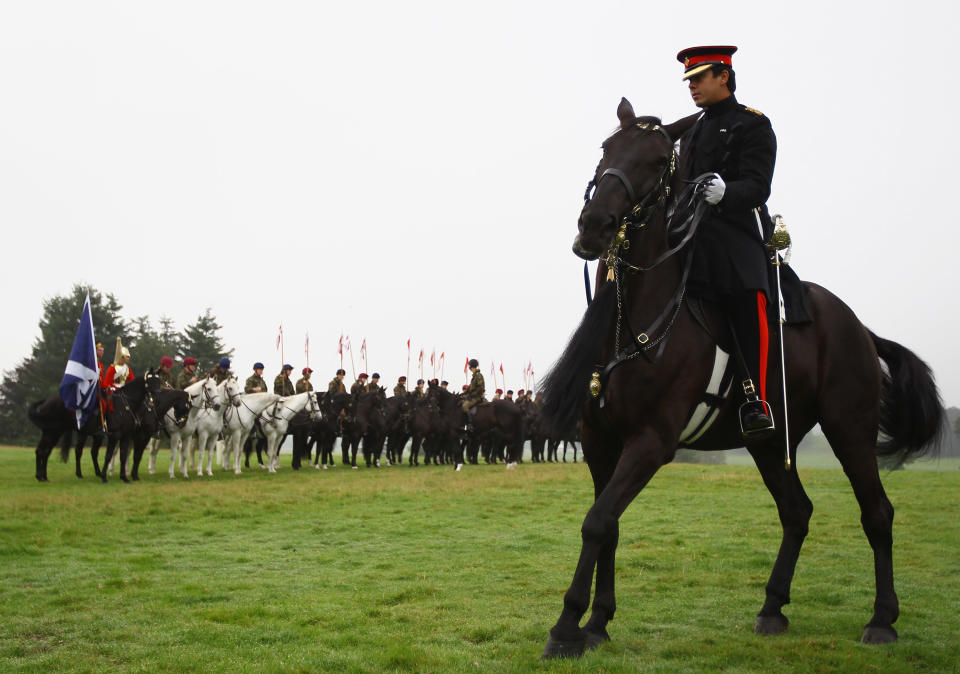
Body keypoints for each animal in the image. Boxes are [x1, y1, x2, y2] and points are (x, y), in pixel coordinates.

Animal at [540, 100, 944, 656]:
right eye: (606, 148)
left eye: (659, 160)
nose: (595, 225)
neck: (637, 316)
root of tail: (860, 327)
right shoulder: (599, 440)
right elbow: (609, 524)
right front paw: (597, 622)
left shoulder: (651, 442)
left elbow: (599, 521)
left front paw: (566, 627)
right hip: (770, 442)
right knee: (796, 511)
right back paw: (772, 608)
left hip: (849, 430)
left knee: (877, 513)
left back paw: (882, 619)